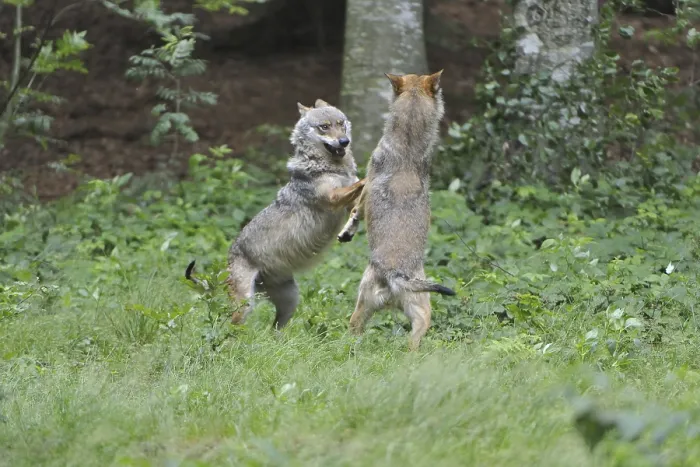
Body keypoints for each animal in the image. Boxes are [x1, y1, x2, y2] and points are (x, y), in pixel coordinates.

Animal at [186, 99, 365, 329]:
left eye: (341, 123)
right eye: (324, 127)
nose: (344, 141)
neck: (333, 167)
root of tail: (227, 263)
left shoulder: (347, 203)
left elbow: (357, 201)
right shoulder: (333, 198)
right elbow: (363, 182)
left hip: (290, 300)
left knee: (274, 330)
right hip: (245, 306)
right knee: (232, 326)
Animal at [342, 70, 456, 350]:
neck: (408, 146)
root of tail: (396, 277)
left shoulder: (365, 189)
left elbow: (355, 211)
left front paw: (347, 231)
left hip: (362, 305)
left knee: (353, 331)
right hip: (423, 313)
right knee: (412, 344)